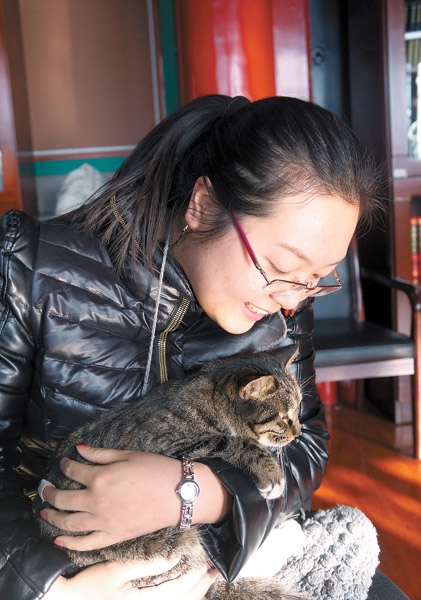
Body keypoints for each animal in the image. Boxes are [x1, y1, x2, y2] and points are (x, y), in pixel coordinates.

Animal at [38, 344, 306, 596]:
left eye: (299, 408)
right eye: (284, 417)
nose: (298, 432)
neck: (210, 401)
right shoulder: (168, 444)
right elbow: (233, 441)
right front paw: (271, 473)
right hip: (179, 542)